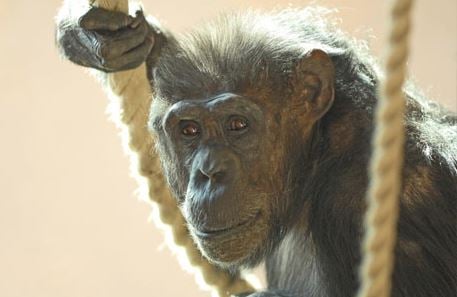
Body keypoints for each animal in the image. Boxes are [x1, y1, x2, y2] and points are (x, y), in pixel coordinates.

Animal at [55, 4, 454, 296]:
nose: (210, 173)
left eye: (237, 125)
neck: (320, 160)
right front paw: (99, 37)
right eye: (189, 130)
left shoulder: (374, 205)